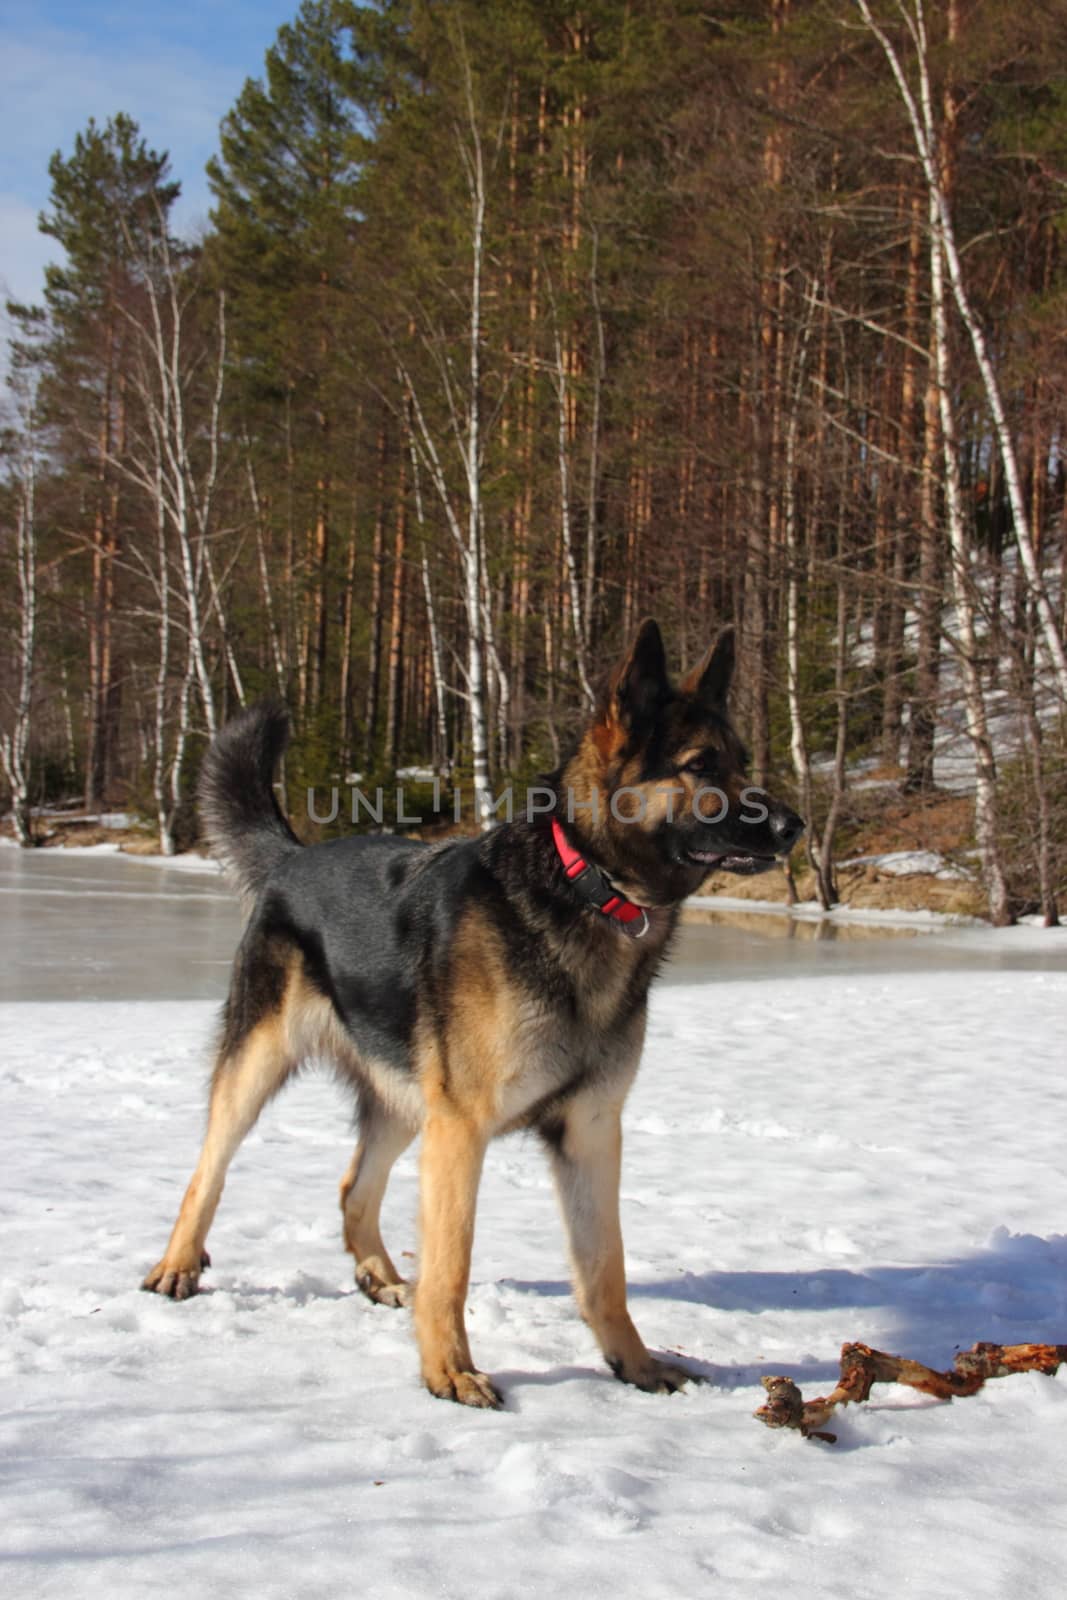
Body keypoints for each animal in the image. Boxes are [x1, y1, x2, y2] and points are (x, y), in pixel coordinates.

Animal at [146, 617, 806, 1408]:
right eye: (701, 765)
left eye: (740, 761)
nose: (795, 826)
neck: (587, 887)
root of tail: (290, 859)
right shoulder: (464, 1131)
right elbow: (452, 1263)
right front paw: (448, 1370)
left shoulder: (589, 1133)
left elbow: (605, 1269)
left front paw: (634, 1363)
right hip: (264, 1070)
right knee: (206, 1171)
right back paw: (178, 1265)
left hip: (407, 1105)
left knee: (353, 1187)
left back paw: (378, 1276)